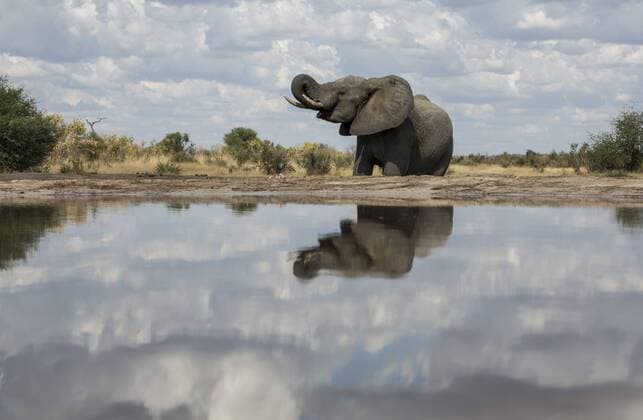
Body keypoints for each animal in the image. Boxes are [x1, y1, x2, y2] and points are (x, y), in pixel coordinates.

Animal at [285, 74, 453, 176]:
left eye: (342, 92)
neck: (370, 85)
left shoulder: (402, 132)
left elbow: (392, 171)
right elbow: (360, 169)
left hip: (447, 147)